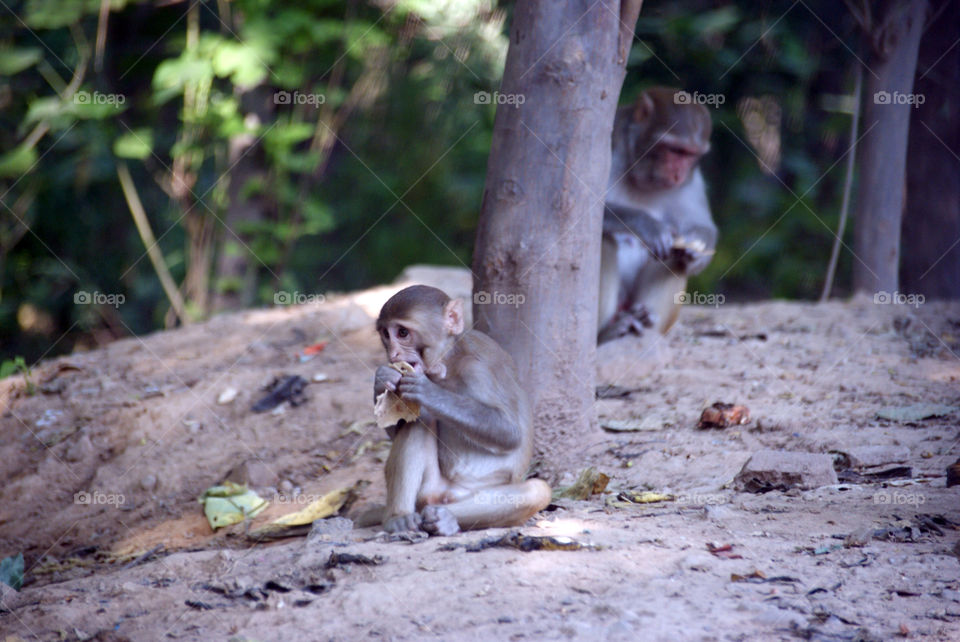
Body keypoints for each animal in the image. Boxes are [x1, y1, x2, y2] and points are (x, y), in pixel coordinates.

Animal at [373, 285, 552, 536]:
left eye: (402, 333)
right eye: (386, 335)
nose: (393, 355)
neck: (448, 361)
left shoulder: (477, 371)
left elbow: (509, 432)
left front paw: (428, 392)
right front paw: (381, 380)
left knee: (536, 490)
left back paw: (446, 519)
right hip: (429, 490)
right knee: (419, 423)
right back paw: (399, 518)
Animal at [598, 86, 717, 343]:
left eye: (690, 155)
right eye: (675, 150)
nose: (678, 174)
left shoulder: (692, 180)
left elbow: (701, 225)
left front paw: (698, 248)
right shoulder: (608, 148)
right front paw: (648, 226)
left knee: (675, 258)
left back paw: (646, 321)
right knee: (604, 240)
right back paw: (606, 332)